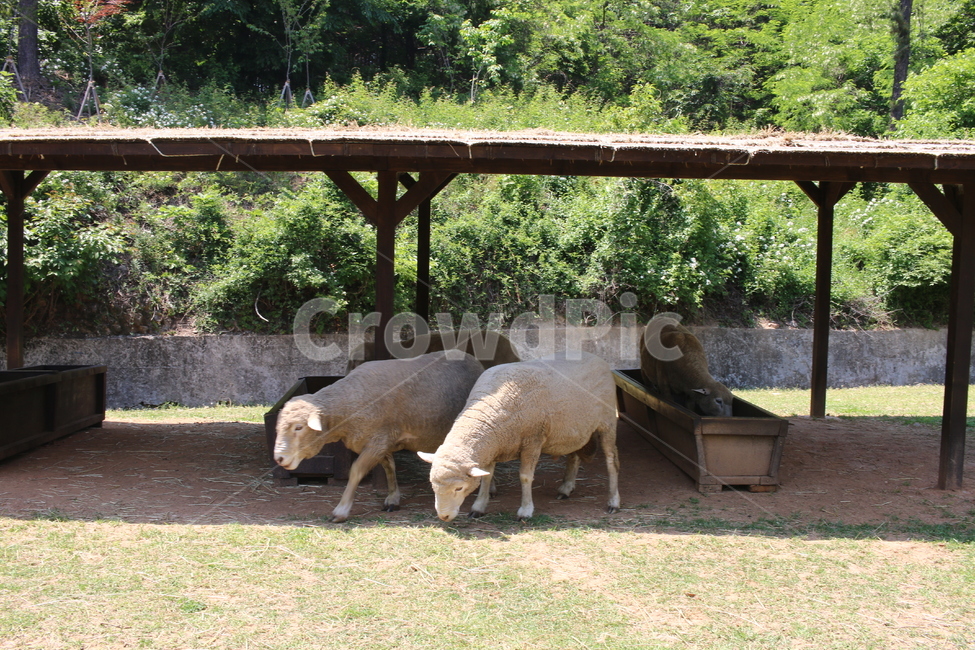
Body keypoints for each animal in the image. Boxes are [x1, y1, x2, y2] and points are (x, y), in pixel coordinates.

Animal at [274, 350, 485, 522]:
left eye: (299, 427)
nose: (279, 458)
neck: (348, 405)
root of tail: (472, 358)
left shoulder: (376, 443)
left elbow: (356, 471)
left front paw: (341, 510)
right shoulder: (382, 441)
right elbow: (389, 467)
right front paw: (392, 499)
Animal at [418, 352, 620, 522]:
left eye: (459, 488)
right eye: (433, 484)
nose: (443, 516)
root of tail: (597, 357)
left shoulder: (533, 441)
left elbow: (525, 477)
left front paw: (525, 510)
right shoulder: (492, 446)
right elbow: (487, 477)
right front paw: (479, 507)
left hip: (608, 422)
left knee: (611, 461)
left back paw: (613, 502)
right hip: (574, 428)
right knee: (574, 456)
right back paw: (566, 488)